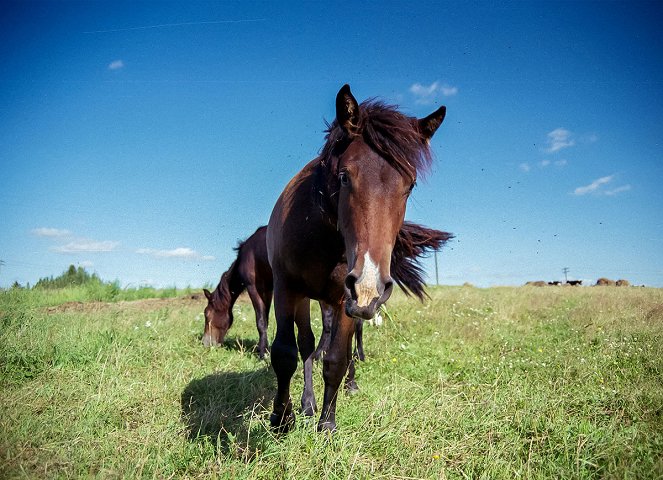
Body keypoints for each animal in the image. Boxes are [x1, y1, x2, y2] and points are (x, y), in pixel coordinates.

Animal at [264, 83, 446, 432]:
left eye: (410, 186)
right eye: (345, 176)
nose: (370, 283)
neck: (321, 236)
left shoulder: (344, 298)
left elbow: (337, 358)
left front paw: (327, 425)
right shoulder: (286, 288)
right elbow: (286, 353)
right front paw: (282, 418)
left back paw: (348, 385)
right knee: (307, 345)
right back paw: (306, 403)